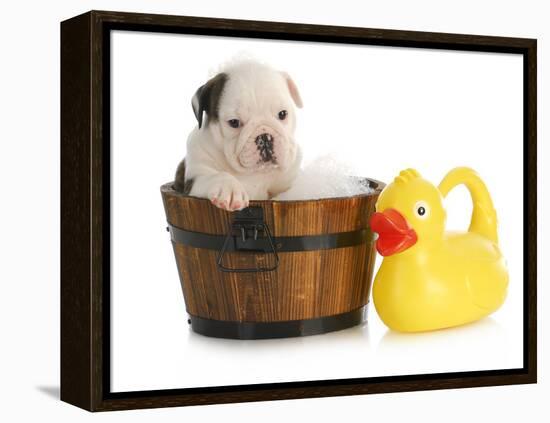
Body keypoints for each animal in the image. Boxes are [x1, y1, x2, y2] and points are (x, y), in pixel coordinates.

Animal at [175, 58, 304, 211]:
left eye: (282, 114)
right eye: (234, 122)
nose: (265, 137)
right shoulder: (194, 179)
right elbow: (216, 176)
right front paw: (229, 188)